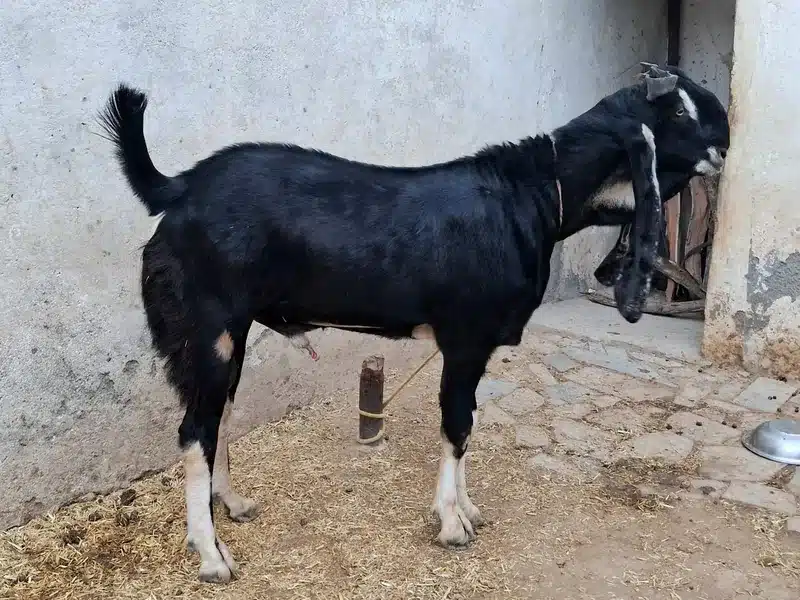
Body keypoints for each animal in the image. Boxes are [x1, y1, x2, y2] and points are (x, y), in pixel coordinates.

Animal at [99, 63, 729, 583]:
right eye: (677, 111)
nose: (724, 139)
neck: (532, 198)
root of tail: (178, 187)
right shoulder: (466, 337)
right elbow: (456, 425)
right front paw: (452, 524)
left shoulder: (474, 346)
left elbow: (467, 420)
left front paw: (467, 508)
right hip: (207, 329)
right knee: (195, 431)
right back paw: (211, 556)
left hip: (231, 333)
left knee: (220, 418)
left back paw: (233, 505)